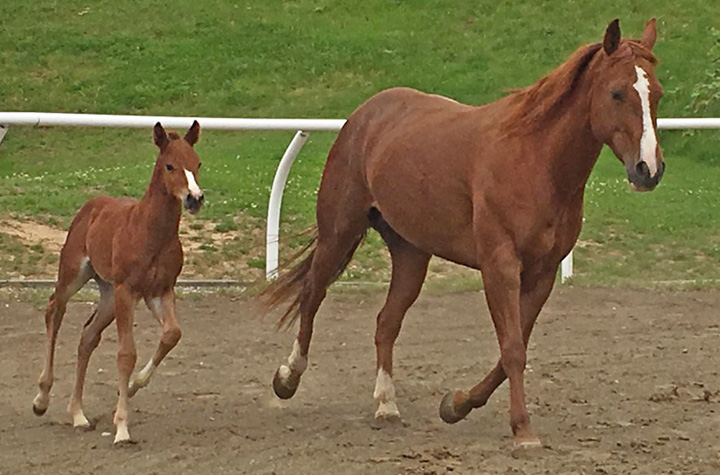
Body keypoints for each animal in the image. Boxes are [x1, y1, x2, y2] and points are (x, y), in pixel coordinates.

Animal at [32, 121, 204, 444]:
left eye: (198, 163)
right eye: (170, 165)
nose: (195, 198)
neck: (151, 233)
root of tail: (91, 205)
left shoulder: (159, 291)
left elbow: (172, 334)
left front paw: (134, 386)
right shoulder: (128, 290)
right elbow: (126, 354)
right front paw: (122, 428)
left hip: (109, 295)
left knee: (88, 336)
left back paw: (78, 414)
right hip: (74, 275)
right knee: (54, 311)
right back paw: (41, 399)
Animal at [261, 18, 664, 447]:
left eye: (656, 93)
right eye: (617, 93)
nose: (649, 170)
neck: (536, 161)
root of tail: (366, 114)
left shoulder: (542, 274)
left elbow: (511, 351)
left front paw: (456, 405)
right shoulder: (499, 266)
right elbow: (513, 348)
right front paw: (523, 430)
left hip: (411, 254)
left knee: (386, 322)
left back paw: (386, 405)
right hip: (338, 232)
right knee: (312, 294)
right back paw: (287, 378)